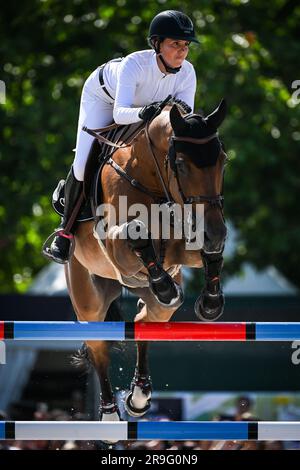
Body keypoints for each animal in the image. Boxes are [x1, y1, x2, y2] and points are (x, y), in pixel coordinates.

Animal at [64, 98, 226, 434]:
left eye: (224, 161)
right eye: (181, 165)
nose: (216, 231)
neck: (150, 178)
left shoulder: (182, 247)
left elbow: (204, 252)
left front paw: (210, 302)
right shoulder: (116, 248)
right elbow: (135, 231)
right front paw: (165, 285)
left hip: (154, 307)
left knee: (145, 319)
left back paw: (138, 397)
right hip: (88, 297)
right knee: (98, 347)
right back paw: (110, 417)